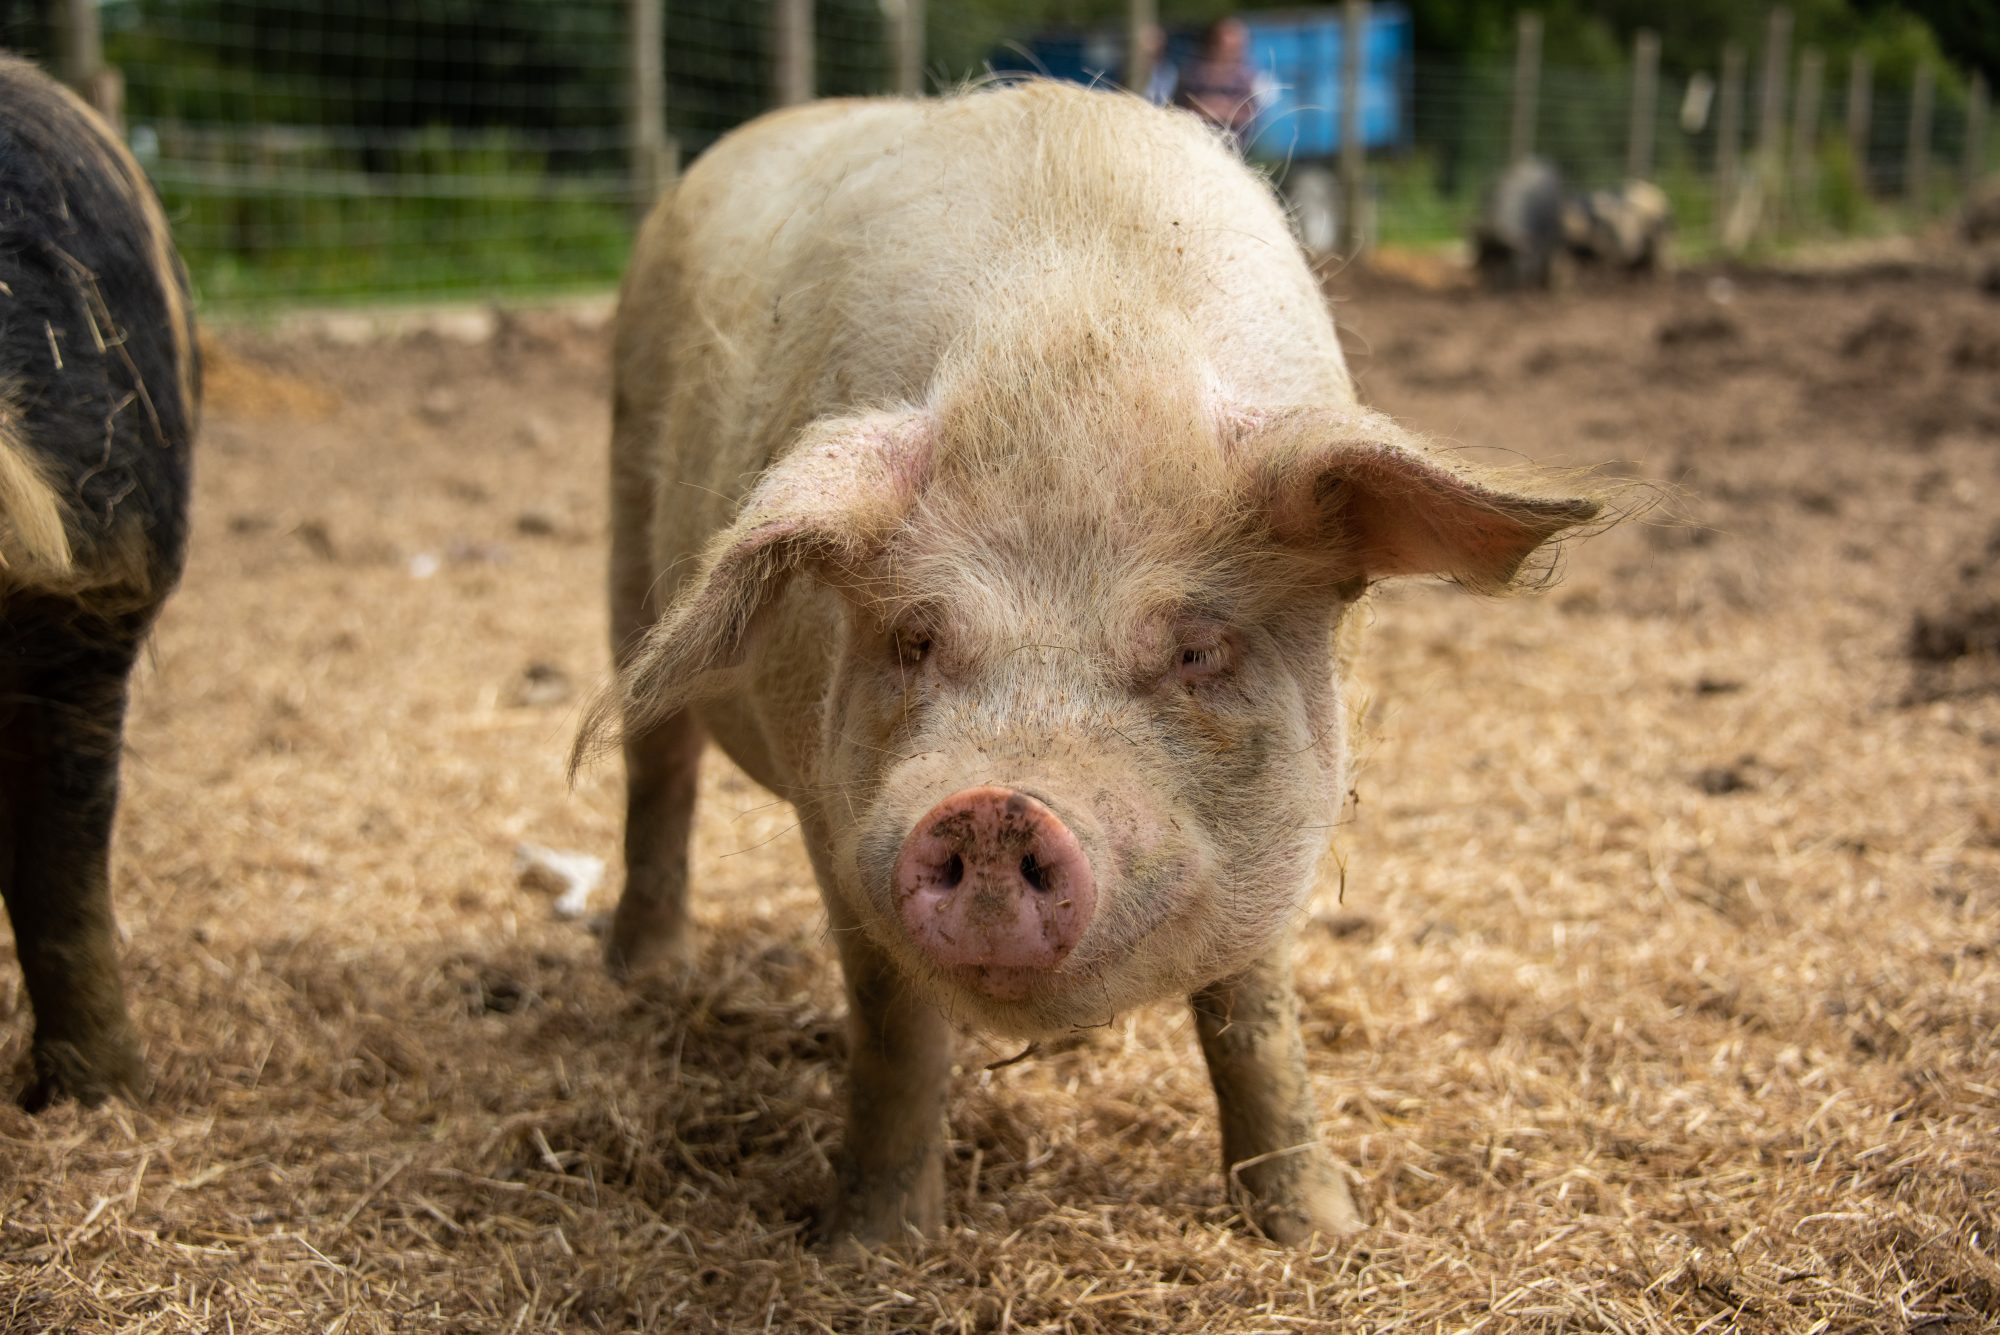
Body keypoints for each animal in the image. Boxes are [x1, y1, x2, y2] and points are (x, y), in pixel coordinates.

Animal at [584, 83, 1608, 1255]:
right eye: (915, 638)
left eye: (1197, 649)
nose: (992, 807)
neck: (1072, 332)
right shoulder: (828, 811)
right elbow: (893, 1026)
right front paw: (870, 1248)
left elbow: (1255, 1015)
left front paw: (1316, 1233)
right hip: (626, 522)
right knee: (657, 766)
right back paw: (643, 975)